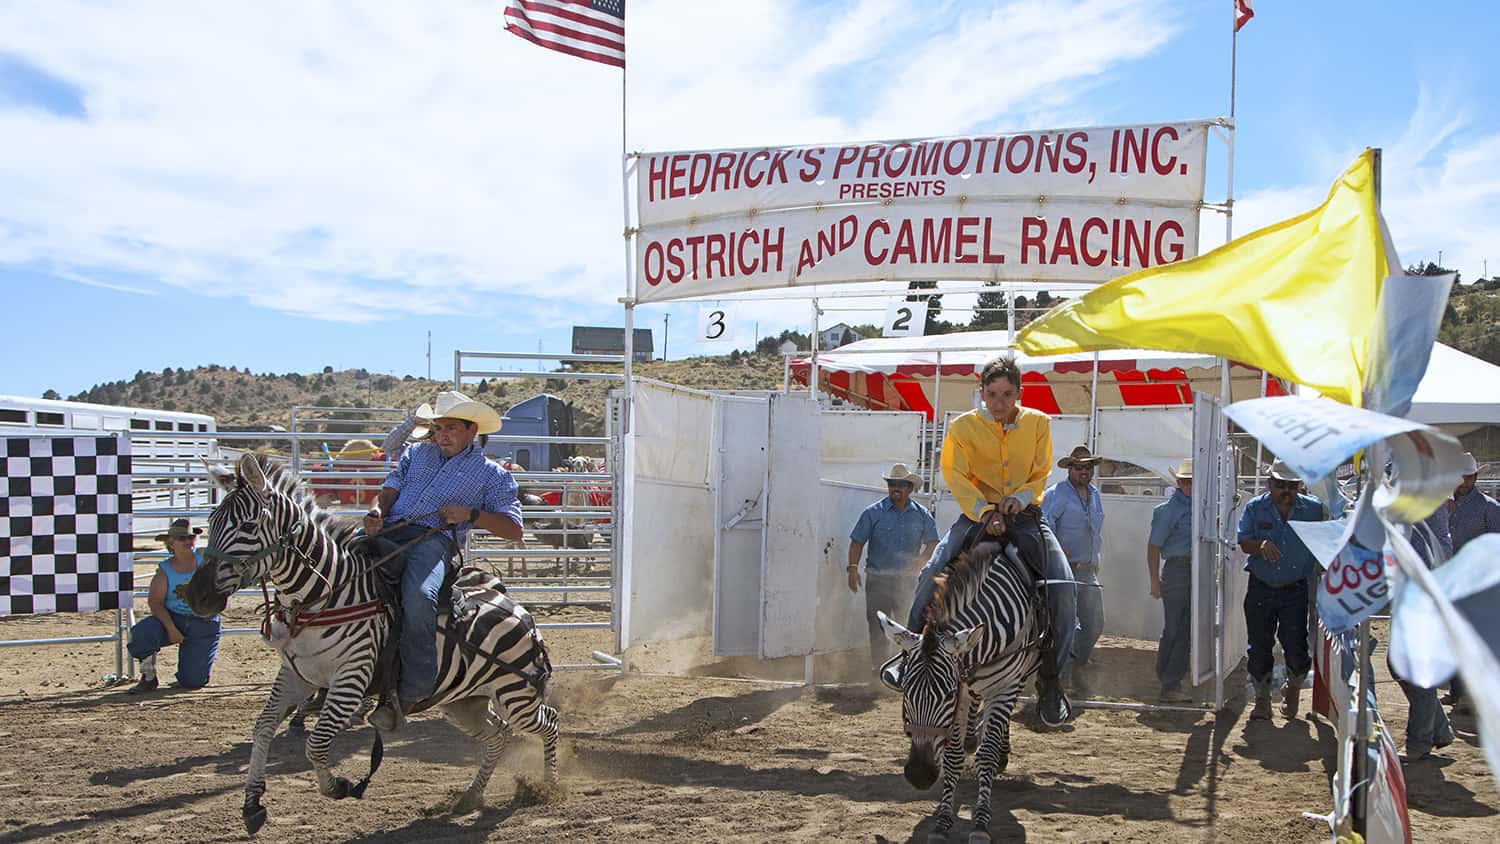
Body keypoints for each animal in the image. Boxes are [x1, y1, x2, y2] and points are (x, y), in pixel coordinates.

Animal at [185, 452, 561, 833]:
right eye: (211, 521)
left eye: (248, 526)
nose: (197, 596)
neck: (328, 596)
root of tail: (520, 612)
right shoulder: (298, 676)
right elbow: (262, 728)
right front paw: (252, 804)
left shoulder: (351, 679)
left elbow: (316, 743)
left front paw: (340, 786)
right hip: (463, 702)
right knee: (497, 735)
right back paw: (470, 796)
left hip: (515, 696)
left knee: (550, 722)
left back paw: (548, 787)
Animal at [876, 542, 1044, 844]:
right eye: (906, 692)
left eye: (947, 695)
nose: (919, 774)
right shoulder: (964, 692)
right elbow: (953, 757)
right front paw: (942, 822)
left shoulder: (1002, 688)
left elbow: (987, 755)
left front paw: (980, 824)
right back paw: (970, 739)